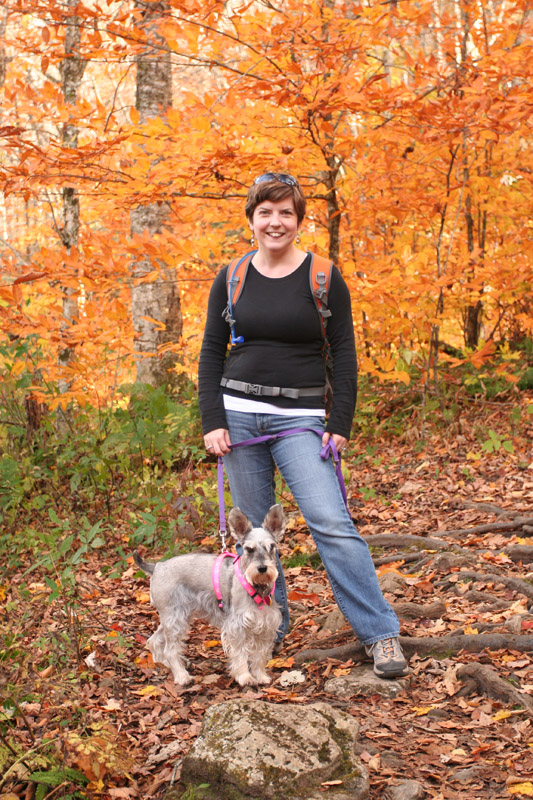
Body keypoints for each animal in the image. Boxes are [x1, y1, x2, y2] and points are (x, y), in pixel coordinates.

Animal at [132, 506, 282, 688]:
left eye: (271, 546)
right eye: (249, 549)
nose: (262, 568)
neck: (257, 586)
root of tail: (157, 567)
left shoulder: (266, 625)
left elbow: (260, 655)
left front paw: (260, 676)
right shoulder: (237, 626)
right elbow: (240, 654)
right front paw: (244, 677)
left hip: (173, 617)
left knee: (154, 640)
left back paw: (165, 665)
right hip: (175, 618)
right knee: (170, 649)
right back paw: (182, 675)